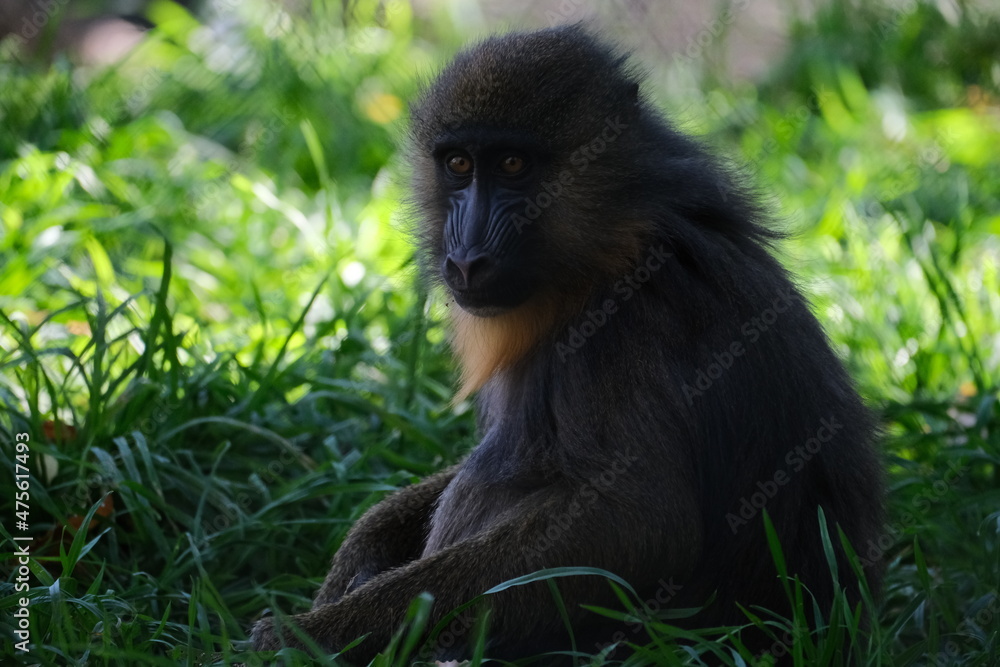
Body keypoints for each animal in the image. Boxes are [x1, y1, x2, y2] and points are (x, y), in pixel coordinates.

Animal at [250, 25, 884, 663]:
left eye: (512, 164)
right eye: (458, 164)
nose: (467, 259)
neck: (607, 247)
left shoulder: (627, 331)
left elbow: (638, 523)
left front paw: (306, 636)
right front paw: (352, 564)